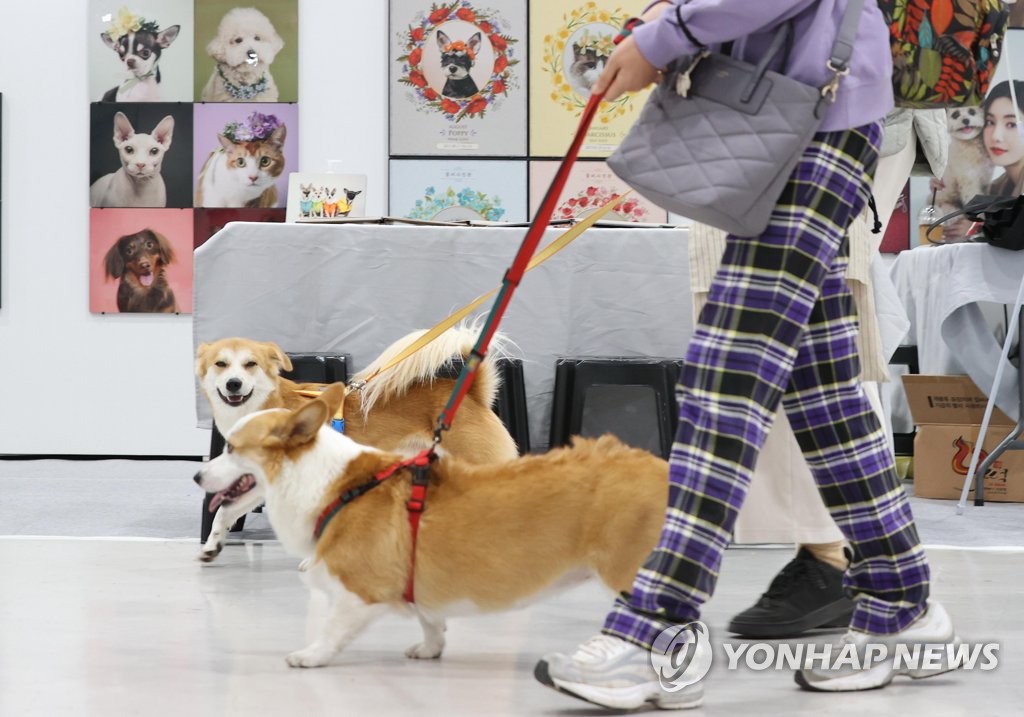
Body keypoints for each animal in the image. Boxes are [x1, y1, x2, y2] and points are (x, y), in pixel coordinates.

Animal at [194, 325, 520, 565]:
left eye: (251, 365)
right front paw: (212, 544)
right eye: (221, 364)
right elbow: (225, 512)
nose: (234, 384)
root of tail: (473, 395)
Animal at [194, 383, 667, 667]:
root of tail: (666, 471)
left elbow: (333, 627)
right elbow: (430, 620)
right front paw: (429, 649)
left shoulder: (358, 591)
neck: (332, 481)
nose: (197, 476)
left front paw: (310, 655)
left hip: (629, 572)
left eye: (232, 448)